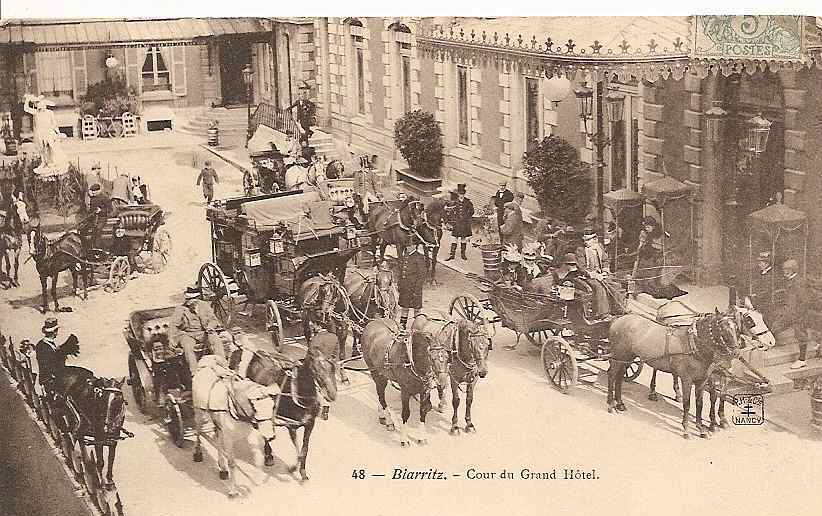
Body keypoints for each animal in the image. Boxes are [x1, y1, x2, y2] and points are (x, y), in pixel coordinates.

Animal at [49, 364, 129, 494]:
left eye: (119, 400)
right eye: (102, 399)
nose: (106, 429)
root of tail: (65, 369)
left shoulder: (113, 440)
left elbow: (111, 459)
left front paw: (110, 481)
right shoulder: (98, 438)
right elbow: (100, 461)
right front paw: (101, 484)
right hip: (70, 413)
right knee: (74, 435)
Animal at [192, 354, 282, 496]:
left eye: (272, 406)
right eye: (255, 407)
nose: (270, 435)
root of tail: (207, 359)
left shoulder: (249, 434)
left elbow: (258, 459)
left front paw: (258, 481)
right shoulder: (229, 438)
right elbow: (232, 463)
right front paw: (233, 490)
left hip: (218, 423)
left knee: (217, 438)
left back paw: (222, 469)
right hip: (199, 414)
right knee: (198, 431)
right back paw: (198, 453)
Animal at [227, 340, 336, 482]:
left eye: (333, 368)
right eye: (316, 369)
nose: (332, 394)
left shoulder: (309, 424)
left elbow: (304, 449)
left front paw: (302, 471)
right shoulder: (291, 426)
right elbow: (298, 450)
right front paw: (293, 468)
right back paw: (268, 455)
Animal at [360, 316, 450, 446]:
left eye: (447, 357)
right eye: (432, 358)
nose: (443, 382)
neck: (412, 359)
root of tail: (373, 321)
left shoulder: (424, 390)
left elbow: (423, 411)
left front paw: (422, 437)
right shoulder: (405, 391)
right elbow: (405, 413)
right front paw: (404, 439)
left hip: (383, 373)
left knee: (379, 393)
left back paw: (382, 415)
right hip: (375, 371)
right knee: (381, 396)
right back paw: (389, 421)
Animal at [608, 308, 744, 438]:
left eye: (737, 328)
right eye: (722, 328)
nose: (735, 352)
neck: (694, 344)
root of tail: (619, 319)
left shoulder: (701, 381)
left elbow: (699, 404)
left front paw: (701, 429)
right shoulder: (687, 380)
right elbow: (687, 403)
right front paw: (687, 429)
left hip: (627, 357)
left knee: (619, 376)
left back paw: (620, 403)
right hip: (618, 355)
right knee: (611, 374)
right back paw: (611, 405)